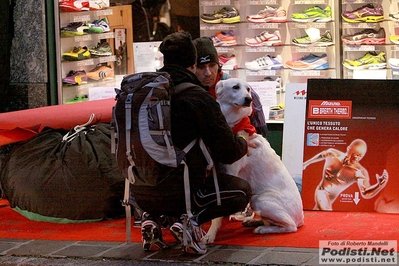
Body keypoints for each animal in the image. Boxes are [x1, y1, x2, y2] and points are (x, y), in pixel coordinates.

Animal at [205, 78, 304, 244]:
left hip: (259, 199)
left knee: (290, 226)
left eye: (248, 89)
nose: (249, 99)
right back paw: (254, 221)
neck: (234, 124)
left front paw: (210, 234)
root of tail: (301, 218)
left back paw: (263, 229)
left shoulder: (229, 174)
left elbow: (217, 214)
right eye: (235, 87)